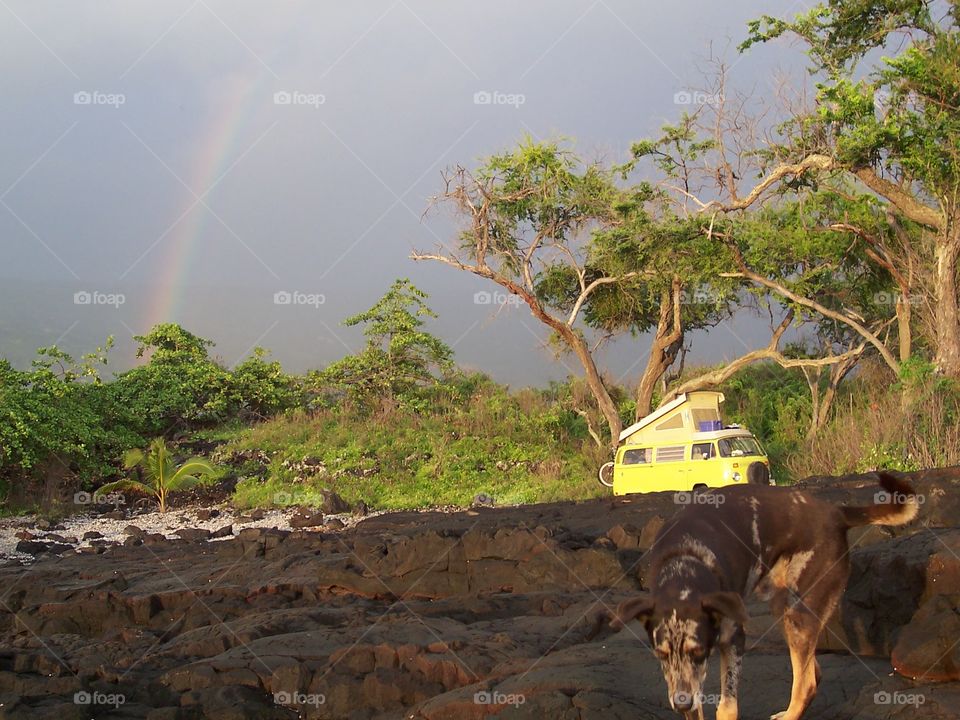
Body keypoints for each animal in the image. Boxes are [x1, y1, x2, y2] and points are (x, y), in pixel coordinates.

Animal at [608, 472, 916, 720]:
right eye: (660, 655)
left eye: (698, 652)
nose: (681, 703)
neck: (684, 561)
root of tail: (835, 512)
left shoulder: (733, 640)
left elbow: (727, 707)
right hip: (783, 608)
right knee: (811, 672)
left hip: (798, 612)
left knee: (806, 684)